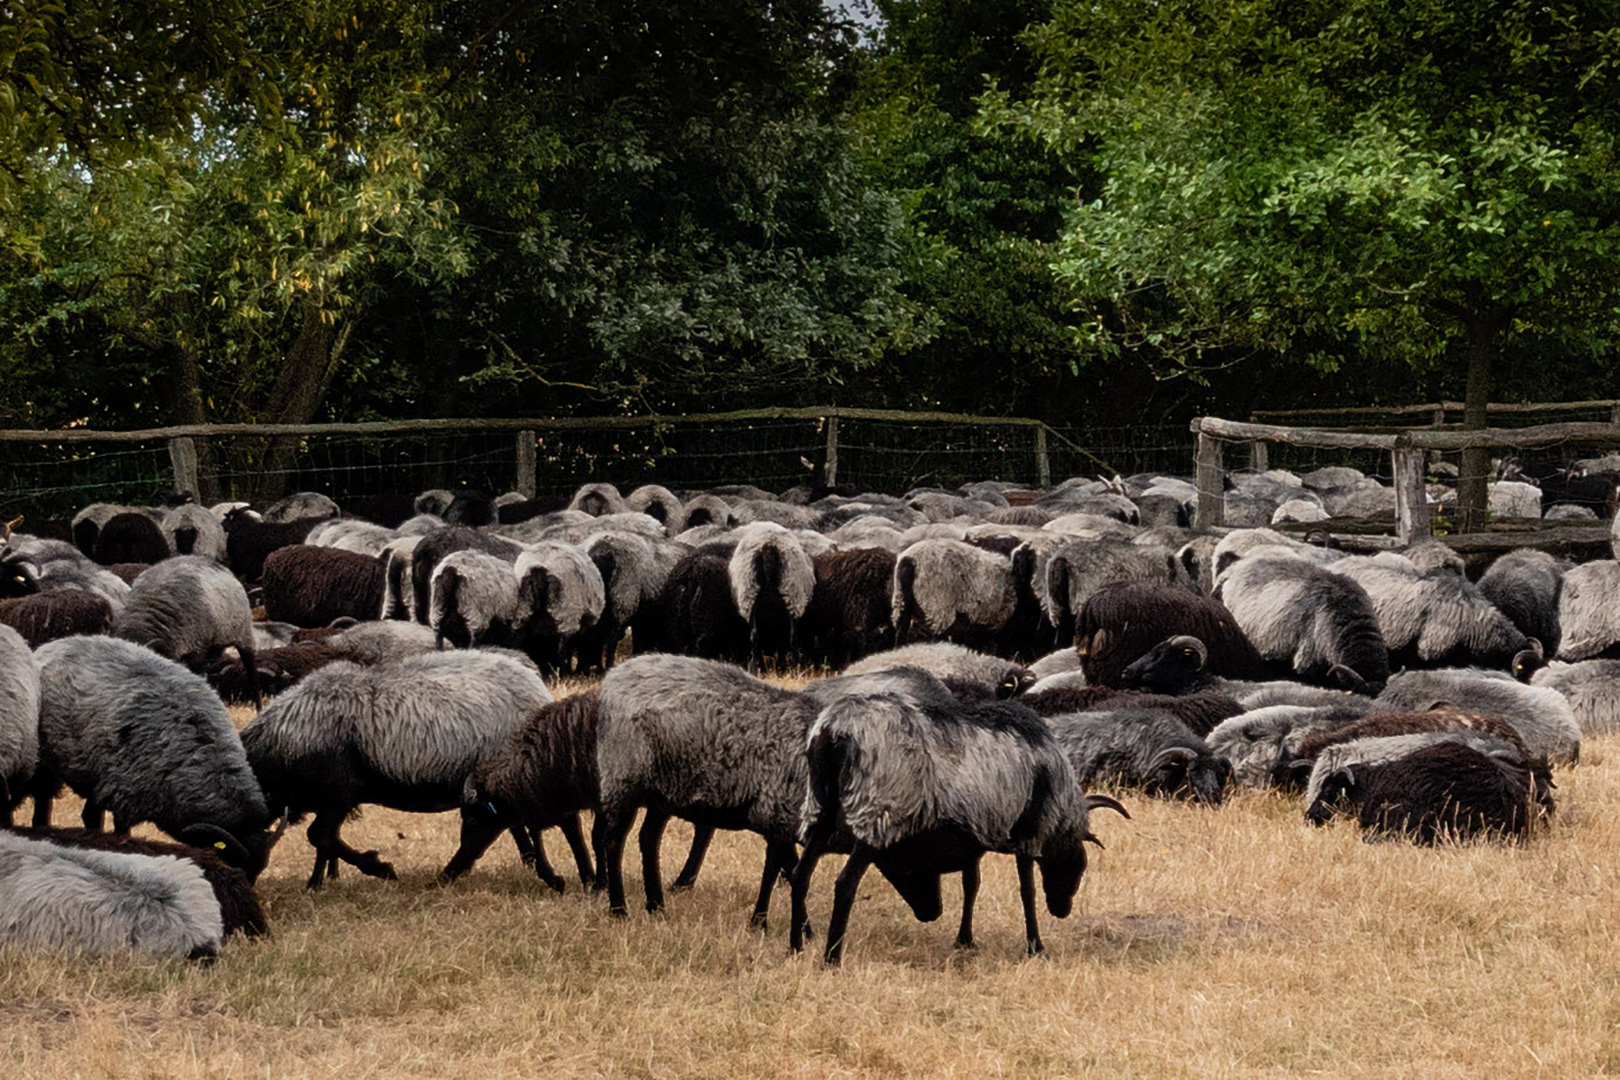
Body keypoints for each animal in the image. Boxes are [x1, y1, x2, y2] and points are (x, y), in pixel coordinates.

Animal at [236, 647, 547, 893]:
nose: (243, 885)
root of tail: (536, 687)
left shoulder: (338, 795)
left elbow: (320, 836)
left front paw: (379, 868)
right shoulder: (331, 801)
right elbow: (326, 841)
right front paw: (319, 882)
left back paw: (448, 877)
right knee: (511, 824)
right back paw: (525, 861)